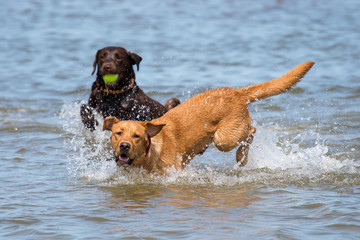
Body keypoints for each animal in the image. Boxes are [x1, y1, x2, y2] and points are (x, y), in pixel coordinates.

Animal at [102, 62, 314, 174]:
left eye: (137, 136)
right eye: (118, 133)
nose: (124, 146)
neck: (148, 154)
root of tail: (237, 92)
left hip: (223, 138)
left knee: (251, 130)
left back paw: (241, 156)